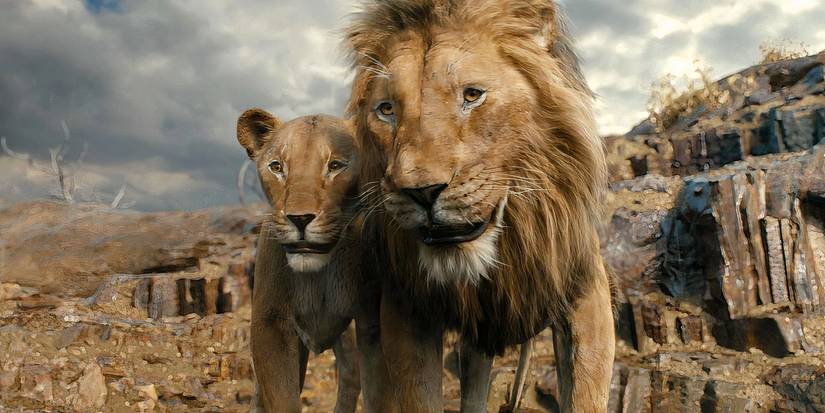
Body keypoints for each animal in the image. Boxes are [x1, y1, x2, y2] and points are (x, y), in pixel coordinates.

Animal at [237, 110, 392, 413]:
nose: (299, 219)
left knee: (351, 377)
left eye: (335, 165)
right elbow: (281, 398)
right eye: (276, 167)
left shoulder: (371, 323)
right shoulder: (271, 323)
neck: (318, 273)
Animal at [344, 1, 615, 411]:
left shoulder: (585, 295)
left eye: (472, 95)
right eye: (386, 110)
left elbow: (584, 395)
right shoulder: (406, 312)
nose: (422, 192)